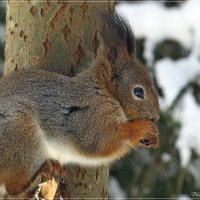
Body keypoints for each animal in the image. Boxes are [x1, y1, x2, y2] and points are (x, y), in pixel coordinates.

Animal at [0, 11, 159, 196]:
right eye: (138, 92)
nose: (155, 117)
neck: (103, 92)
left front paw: (153, 138)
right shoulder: (89, 118)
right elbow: (103, 142)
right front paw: (145, 128)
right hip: (20, 135)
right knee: (13, 188)